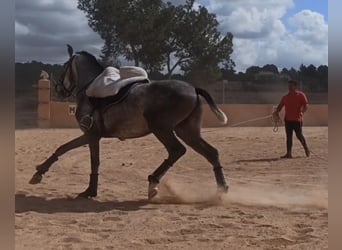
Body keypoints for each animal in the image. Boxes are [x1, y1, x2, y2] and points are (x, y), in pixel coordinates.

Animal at [30, 46, 230, 200]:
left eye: (65, 66)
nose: (59, 89)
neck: (89, 89)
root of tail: (193, 88)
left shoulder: (91, 135)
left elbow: (91, 160)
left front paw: (89, 191)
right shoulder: (90, 135)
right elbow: (63, 148)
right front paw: (39, 172)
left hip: (162, 129)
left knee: (177, 150)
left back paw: (153, 183)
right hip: (187, 131)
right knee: (211, 153)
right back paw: (221, 189)